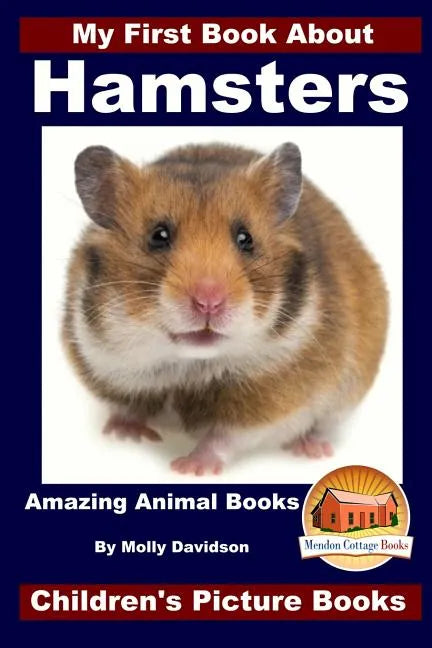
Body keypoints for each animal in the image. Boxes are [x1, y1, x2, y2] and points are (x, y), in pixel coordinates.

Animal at [63, 142, 388, 475]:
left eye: (246, 238)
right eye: (158, 236)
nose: (209, 301)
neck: (188, 364)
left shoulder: (268, 400)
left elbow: (224, 436)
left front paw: (189, 468)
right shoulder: (105, 365)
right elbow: (129, 406)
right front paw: (122, 436)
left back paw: (312, 450)